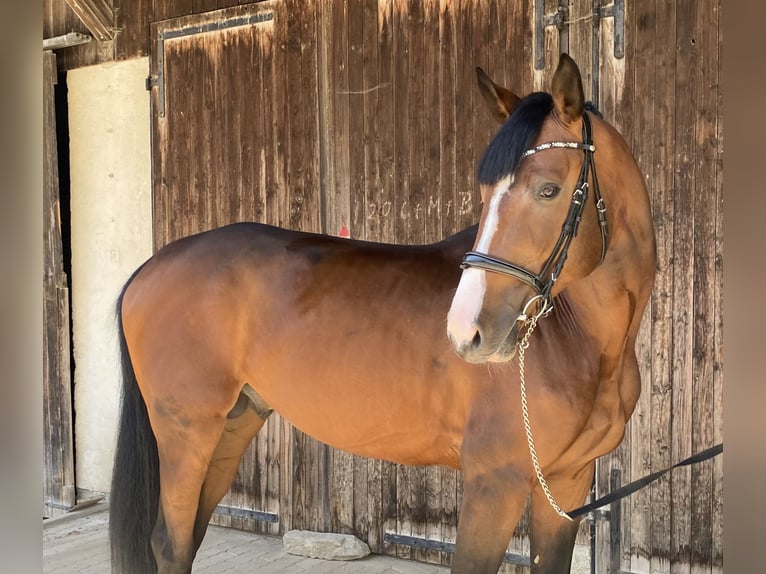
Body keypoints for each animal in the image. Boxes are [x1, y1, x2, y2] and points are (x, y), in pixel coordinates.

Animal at [109, 53, 655, 574]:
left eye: (548, 190)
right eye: (484, 194)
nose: (466, 333)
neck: (581, 340)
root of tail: (149, 268)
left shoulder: (564, 487)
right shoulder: (494, 483)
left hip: (232, 425)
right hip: (186, 435)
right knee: (171, 545)